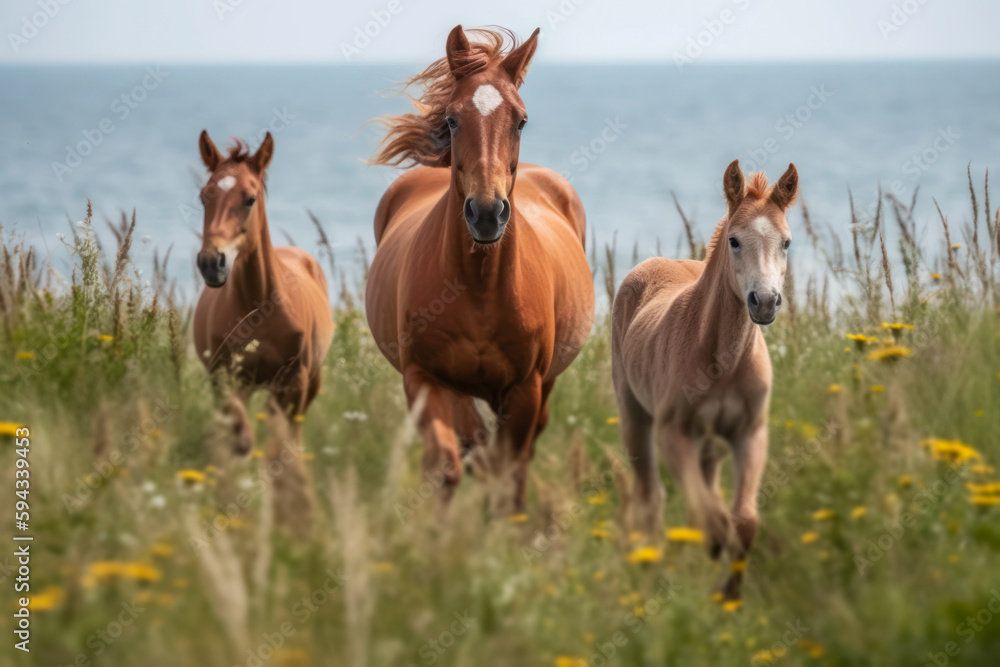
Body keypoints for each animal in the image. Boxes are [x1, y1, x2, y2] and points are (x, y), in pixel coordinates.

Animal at [191, 130, 336, 456]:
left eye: (250, 199)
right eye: (204, 197)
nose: (211, 264)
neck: (259, 310)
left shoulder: (294, 384)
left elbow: (280, 443)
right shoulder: (228, 378)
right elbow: (242, 436)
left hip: (310, 382)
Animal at [366, 26, 592, 516]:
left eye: (521, 120)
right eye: (453, 120)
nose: (486, 214)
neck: (479, 289)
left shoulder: (526, 389)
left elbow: (507, 478)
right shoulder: (425, 380)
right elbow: (446, 468)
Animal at [608, 160, 796, 600]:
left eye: (786, 242)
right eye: (734, 241)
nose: (765, 302)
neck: (722, 364)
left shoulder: (750, 433)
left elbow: (743, 521)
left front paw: (728, 594)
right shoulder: (673, 433)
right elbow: (708, 517)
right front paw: (710, 562)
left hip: (709, 444)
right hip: (634, 414)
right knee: (650, 496)